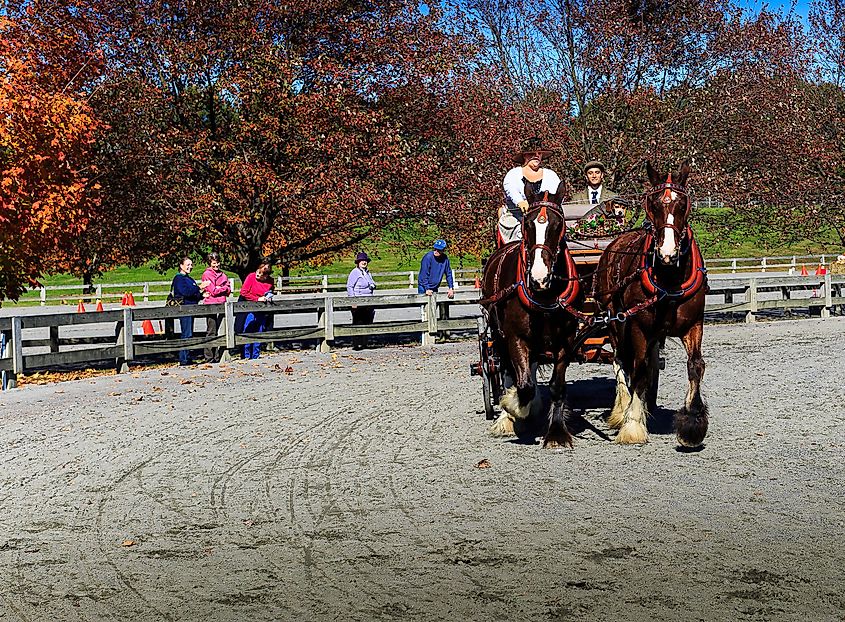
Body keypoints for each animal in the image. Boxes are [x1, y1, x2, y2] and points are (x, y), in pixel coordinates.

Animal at [482, 182, 580, 448]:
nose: (539, 278)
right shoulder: (516, 338)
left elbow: (557, 386)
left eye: (558, 224)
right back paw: (507, 417)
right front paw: (513, 406)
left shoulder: (566, 340)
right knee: (508, 371)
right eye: (528, 224)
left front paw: (556, 432)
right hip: (498, 333)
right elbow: (523, 384)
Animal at [592, 163, 704, 448]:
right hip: (614, 320)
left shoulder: (694, 325)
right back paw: (623, 408)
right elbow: (638, 369)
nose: (667, 253)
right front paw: (632, 423)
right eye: (652, 204)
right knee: (621, 360)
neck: (669, 278)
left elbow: (695, 365)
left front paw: (693, 422)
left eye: (682, 203)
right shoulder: (638, 327)